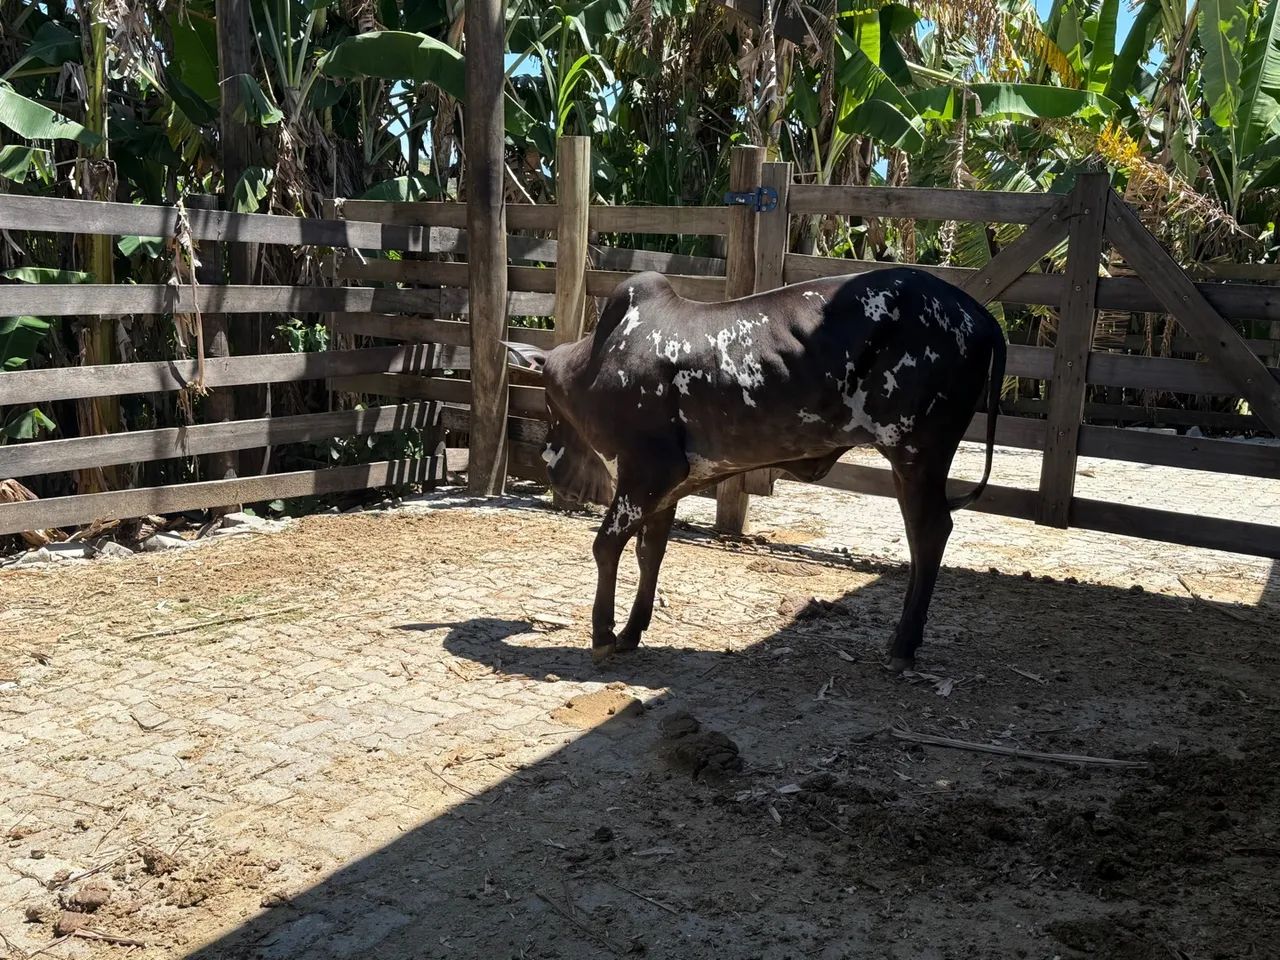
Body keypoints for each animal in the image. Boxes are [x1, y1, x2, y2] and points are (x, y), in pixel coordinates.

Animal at [522, 266, 1007, 672]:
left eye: (548, 403)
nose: (547, 459)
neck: (598, 360)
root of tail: (979, 313)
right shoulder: (669, 486)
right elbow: (650, 552)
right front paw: (630, 632)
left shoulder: (649, 469)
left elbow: (606, 546)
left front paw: (602, 634)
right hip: (912, 462)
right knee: (921, 535)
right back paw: (902, 638)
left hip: (916, 453)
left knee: (930, 532)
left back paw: (903, 645)